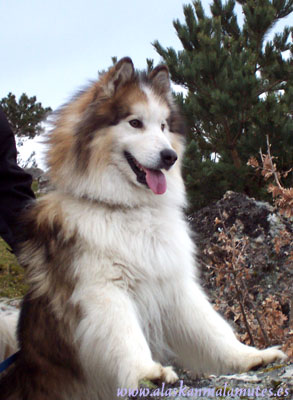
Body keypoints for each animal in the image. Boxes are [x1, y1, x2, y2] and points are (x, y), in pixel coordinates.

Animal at [0, 57, 286, 400]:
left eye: (163, 126)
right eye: (135, 123)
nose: (169, 156)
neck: (129, 209)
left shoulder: (174, 284)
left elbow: (212, 329)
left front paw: (249, 356)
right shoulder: (104, 289)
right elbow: (124, 335)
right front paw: (146, 373)